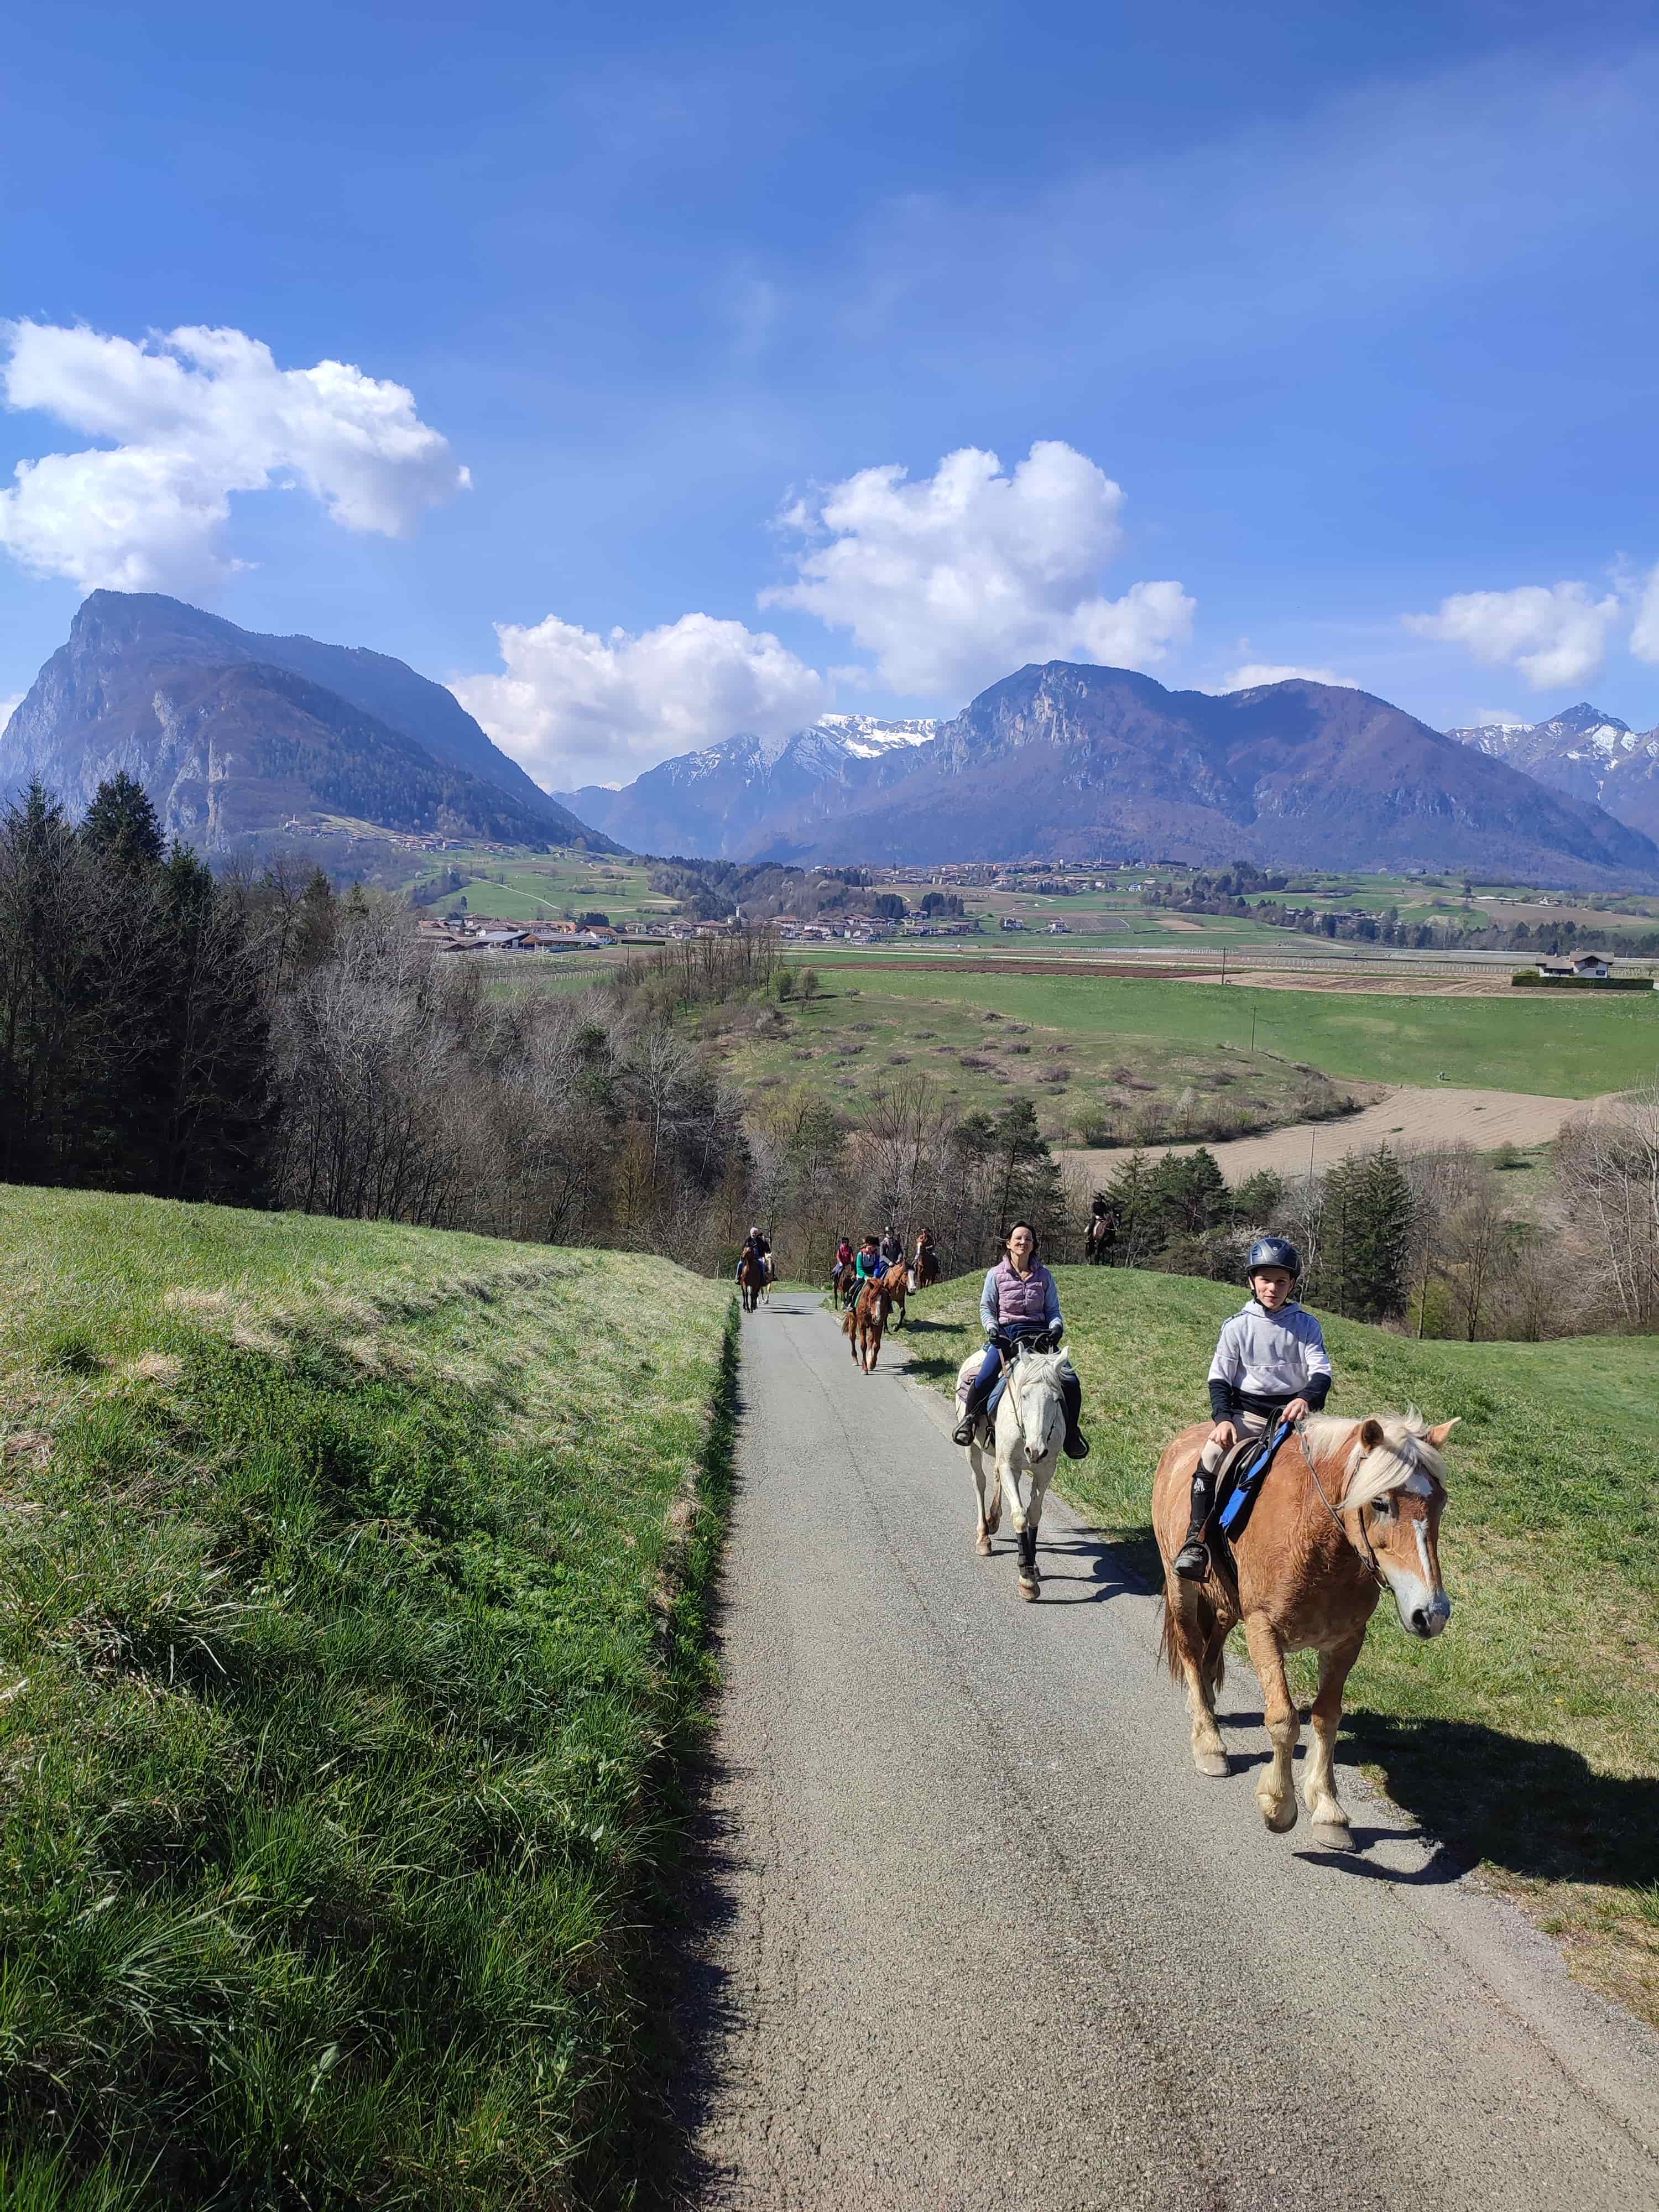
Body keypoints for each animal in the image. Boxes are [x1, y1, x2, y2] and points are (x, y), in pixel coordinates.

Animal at [845, 1274, 898, 1371]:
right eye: (872, 1298)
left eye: (884, 1299)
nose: (877, 1318)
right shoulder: (862, 1325)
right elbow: (863, 1346)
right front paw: (864, 1369)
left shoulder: (879, 1325)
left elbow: (876, 1345)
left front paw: (872, 1364)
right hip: (853, 1319)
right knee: (852, 1337)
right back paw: (855, 1359)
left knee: (870, 1340)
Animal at [956, 1336, 1071, 1601]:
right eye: (1025, 1396)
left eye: (1057, 1399)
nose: (1036, 1451)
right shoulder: (1010, 1465)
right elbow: (1019, 1515)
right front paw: (1026, 1577)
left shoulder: (1045, 1470)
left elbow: (1034, 1514)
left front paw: (1033, 1563)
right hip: (973, 1450)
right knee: (980, 1482)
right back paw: (984, 1536)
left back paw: (994, 1519)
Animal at [1159, 1416, 1451, 1849]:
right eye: (1380, 1503)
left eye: (1441, 1503)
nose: (1431, 1614)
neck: (1320, 1544)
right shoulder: (1263, 1629)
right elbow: (1284, 1719)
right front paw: (1279, 1805)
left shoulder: (1346, 1642)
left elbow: (1327, 1718)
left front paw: (1328, 1809)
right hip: (1181, 1584)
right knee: (1192, 1650)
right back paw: (1209, 1740)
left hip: (1226, 1601)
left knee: (1215, 1641)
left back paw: (1205, 1705)